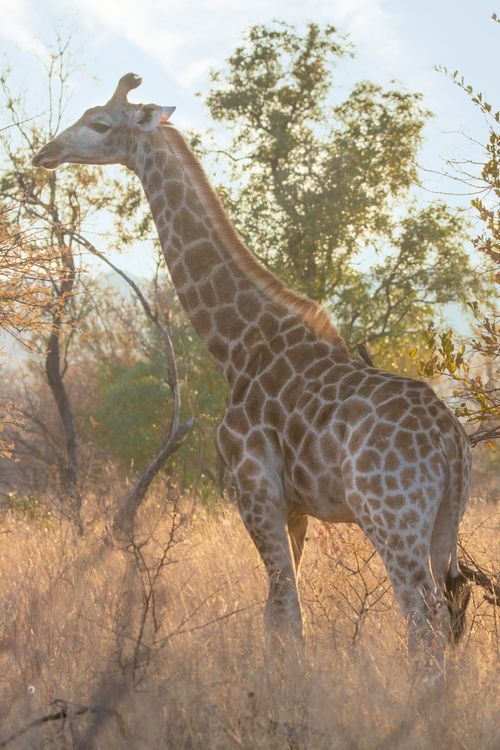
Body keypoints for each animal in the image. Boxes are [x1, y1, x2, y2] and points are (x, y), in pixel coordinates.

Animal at [33, 73, 472, 671]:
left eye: (100, 123)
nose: (46, 153)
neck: (237, 345)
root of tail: (452, 442)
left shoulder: (253, 488)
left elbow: (286, 612)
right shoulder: (294, 508)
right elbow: (278, 613)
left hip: (392, 520)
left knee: (422, 622)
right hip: (447, 522)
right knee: (448, 615)